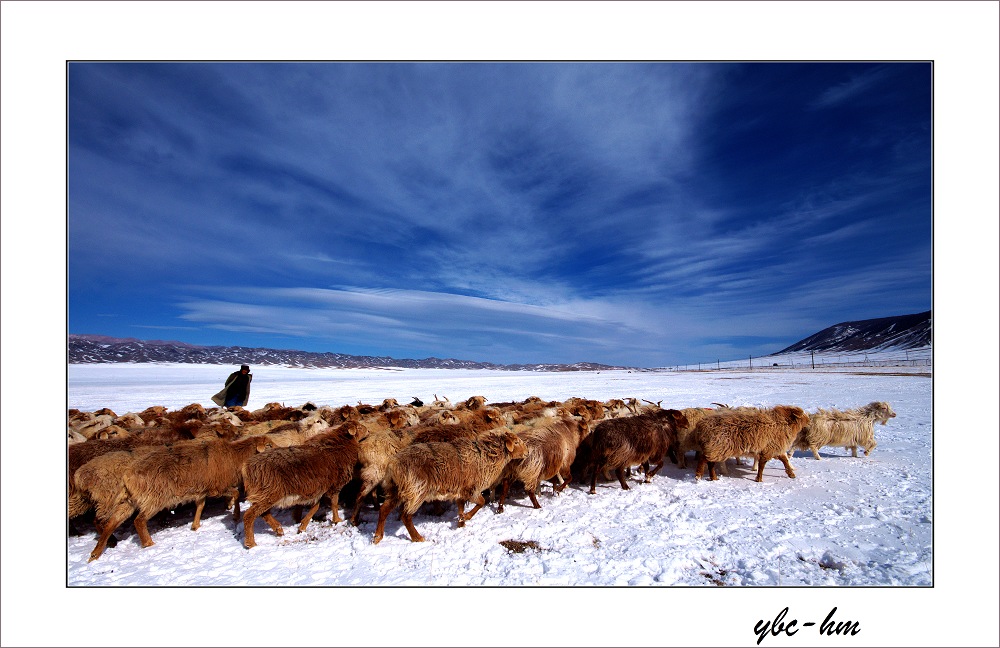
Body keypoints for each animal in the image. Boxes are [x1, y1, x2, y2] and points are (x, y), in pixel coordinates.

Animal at [240, 420, 370, 548]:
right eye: (359, 427)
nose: (368, 431)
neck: (342, 445)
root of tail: (248, 467)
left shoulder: (319, 488)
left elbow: (315, 506)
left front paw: (302, 526)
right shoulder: (334, 485)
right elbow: (334, 503)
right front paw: (337, 520)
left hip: (265, 494)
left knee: (263, 513)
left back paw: (278, 529)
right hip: (269, 492)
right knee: (249, 515)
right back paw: (251, 543)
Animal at [374, 430, 532, 540]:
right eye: (516, 442)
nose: (527, 452)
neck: (487, 456)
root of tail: (393, 465)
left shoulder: (460, 490)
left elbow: (461, 506)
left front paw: (461, 522)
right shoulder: (471, 488)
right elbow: (481, 502)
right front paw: (466, 518)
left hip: (396, 490)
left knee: (384, 510)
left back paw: (377, 537)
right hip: (416, 490)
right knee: (406, 516)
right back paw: (417, 538)